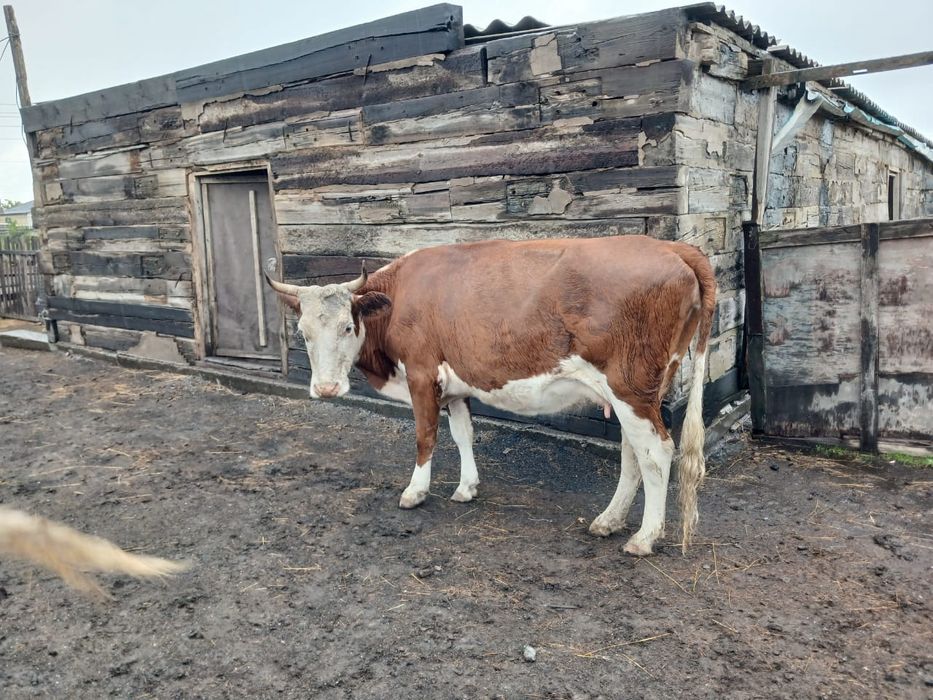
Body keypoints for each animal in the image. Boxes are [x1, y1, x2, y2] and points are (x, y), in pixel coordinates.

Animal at [268, 235, 716, 555]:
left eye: (347, 326)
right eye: (303, 332)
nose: (326, 388)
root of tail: (671, 246)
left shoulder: (422, 373)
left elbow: (425, 437)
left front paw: (415, 492)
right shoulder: (455, 385)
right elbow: (463, 435)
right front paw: (467, 488)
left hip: (630, 384)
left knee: (656, 451)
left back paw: (644, 537)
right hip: (638, 390)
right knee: (633, 453)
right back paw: (610, 520)